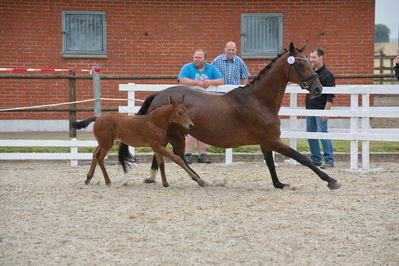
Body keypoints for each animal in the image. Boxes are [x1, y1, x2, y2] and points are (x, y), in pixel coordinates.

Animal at [72, 96, 202, 187]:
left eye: (187, 111)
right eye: (179, 113)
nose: (191, 126)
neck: (154, 123)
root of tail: (98, 118)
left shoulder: (157, 147)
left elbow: (161, 163)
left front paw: (165, 183)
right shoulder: (157, 146)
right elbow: (177, 159)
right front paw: (198, 179)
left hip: (103, 143)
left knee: (95, 154)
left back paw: (88, 178)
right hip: (107, 144)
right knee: (100, 158)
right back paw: (108, 181)